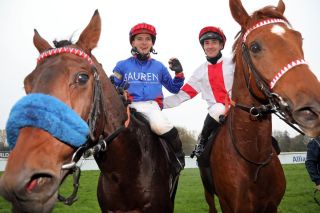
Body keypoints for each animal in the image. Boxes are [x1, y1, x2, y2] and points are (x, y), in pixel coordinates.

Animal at [199, 0, 320, 213]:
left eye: (299, 39)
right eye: (255, 46)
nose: (312, 109)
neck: (253, 161)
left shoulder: (271, 206)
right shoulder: (230, 206)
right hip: (208, 193)